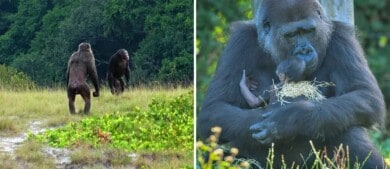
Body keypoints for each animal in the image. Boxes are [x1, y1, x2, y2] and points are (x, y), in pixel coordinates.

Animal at [198, 0, 386, 168]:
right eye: (291, 35)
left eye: (309, 31)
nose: (305, 50)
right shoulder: (239, 41)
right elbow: (214, 109)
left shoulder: (342, 37)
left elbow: (365, 94)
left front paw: (290, 118)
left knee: (346, 124)